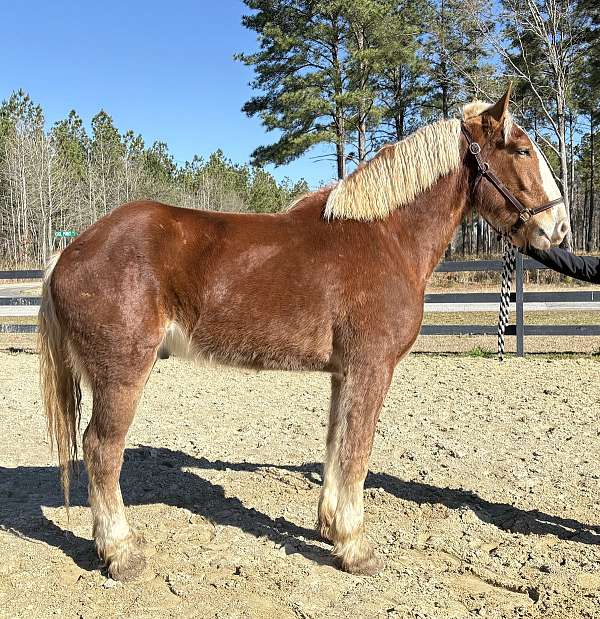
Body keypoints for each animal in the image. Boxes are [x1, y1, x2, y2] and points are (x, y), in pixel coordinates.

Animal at [36, 87, 568, 580]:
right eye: (522, 149)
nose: (558, 227)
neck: (385, 235)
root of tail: (68, 253)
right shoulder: (371, 369)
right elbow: (357, 452)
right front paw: (356, 549)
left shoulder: (343, 373)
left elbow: (336, 444)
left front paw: (331, 528)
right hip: (121, 374)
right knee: (102, 449)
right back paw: (121, 554)